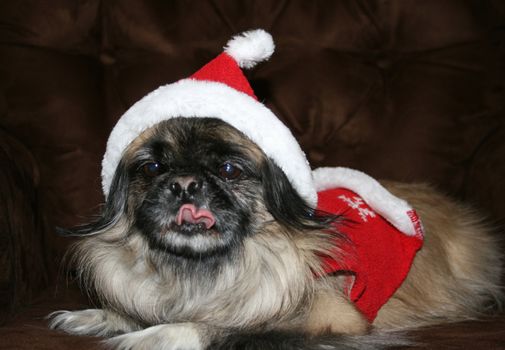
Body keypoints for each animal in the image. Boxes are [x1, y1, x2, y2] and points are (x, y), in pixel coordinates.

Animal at [49, 117, 502, 350]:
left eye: (229, 170)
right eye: (153, 168)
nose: (184, 184)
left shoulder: (331, 318)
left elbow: (234, 328)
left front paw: (156, 335)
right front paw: (96, 317)